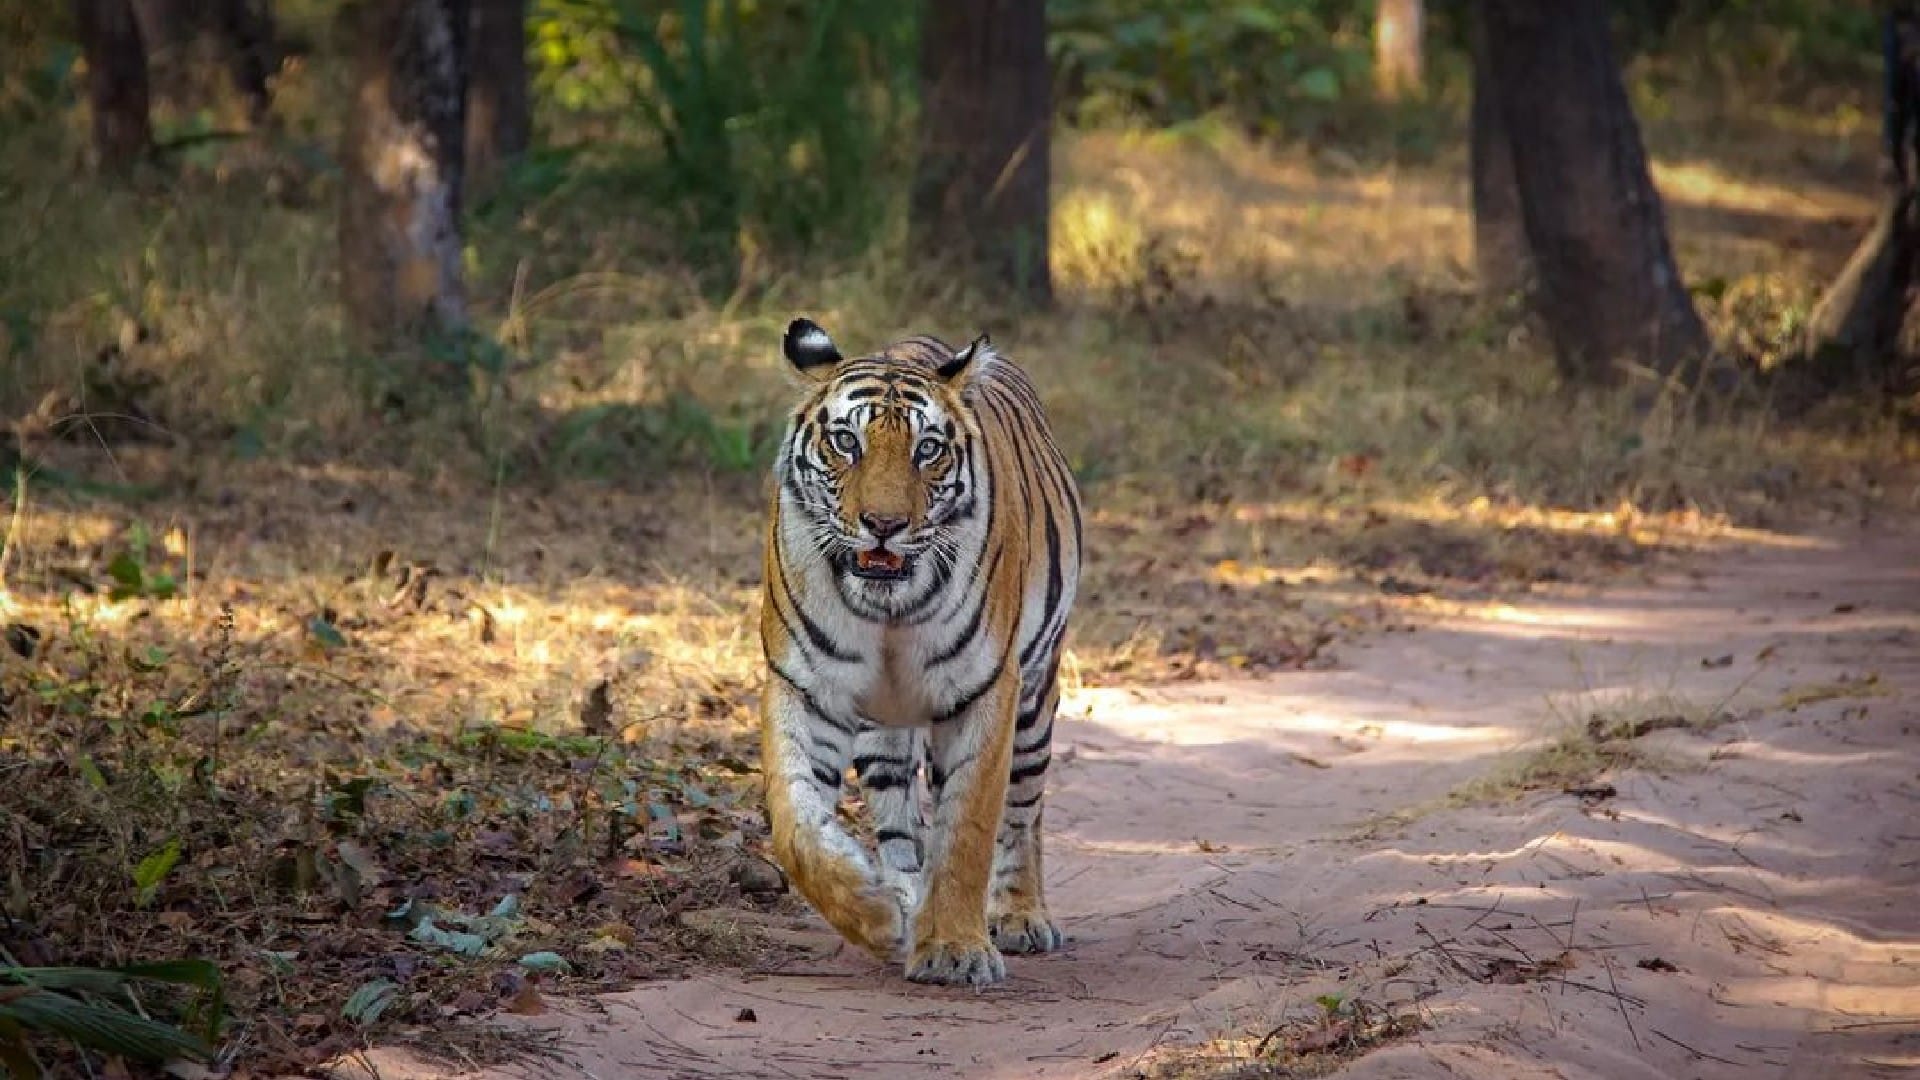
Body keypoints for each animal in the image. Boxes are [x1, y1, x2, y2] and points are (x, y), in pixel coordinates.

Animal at [758, 317, 1082, 987]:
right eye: (846, 443)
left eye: (927, 449)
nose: (883, 524)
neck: (888, 610)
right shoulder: (806, 687)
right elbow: (795, 826)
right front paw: (872, 912)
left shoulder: (985, 691)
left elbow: (967, 830)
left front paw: (955, 949)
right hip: (884, 730)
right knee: (900, 821)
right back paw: (904, 903)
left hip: (1035, 702)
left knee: (1024, 810)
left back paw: (1020, 916)